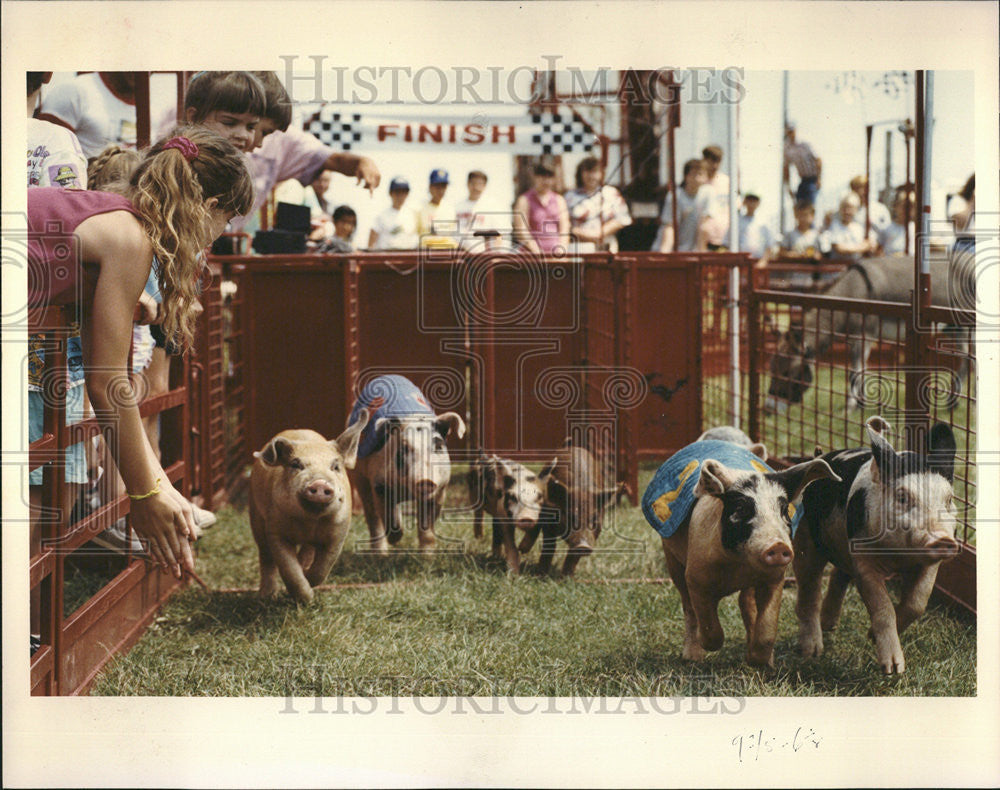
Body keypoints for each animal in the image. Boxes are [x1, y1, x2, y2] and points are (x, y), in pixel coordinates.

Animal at [250, 412, 372, 604]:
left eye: (335, 466)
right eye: (295, 464)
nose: (320, 483)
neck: (310, 522)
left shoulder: (339, 532)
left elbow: (323, 567)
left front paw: (308, 582)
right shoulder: (275, 530)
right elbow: (289, 569)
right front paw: (306, 598)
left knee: (307, 551)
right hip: (255, 515)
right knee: (265, 555)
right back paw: (267, 596)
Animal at [348, 374, 464, 552]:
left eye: (438, 446)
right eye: (404, 448)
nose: (425, 480)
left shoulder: (441, 488)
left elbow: (427, 530)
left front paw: (428, 555)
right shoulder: (379, 485)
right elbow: (389, 518)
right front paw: (396, 540)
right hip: (359, 475)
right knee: (372, 517)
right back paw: (381, 553)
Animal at [516, 442, 624, 580]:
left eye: (594, 518)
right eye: (571, 516)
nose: (583, 546)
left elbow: (573, 556)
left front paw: (567, 579)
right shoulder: (549, 522)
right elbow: (549, 547)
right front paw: (540, 576)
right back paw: (522, 549)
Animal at [640, 440, 836, 668]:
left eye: (784, 510)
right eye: (741, 508)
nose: (778, 545)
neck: (738, 566)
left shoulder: (775, 578)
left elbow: (767, 628)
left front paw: (759, 662)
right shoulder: (696, 577)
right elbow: (708, 625)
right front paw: (708, 646)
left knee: (746, 602)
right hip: (672, 558)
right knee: (688, 607)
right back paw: (692, 657)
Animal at [792, 420, 956, 676]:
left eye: (948, 500)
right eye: (902, 497)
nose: (942, 539)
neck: (899, 557)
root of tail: (820, 456)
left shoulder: (930, 565)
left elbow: (917, 603)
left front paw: (870, 636)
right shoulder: (864, 561)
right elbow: (882, 606)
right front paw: (893, 670)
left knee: (838, 575)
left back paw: (830, 625)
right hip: (806, 537)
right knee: (809, 588)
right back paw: (812, 652)